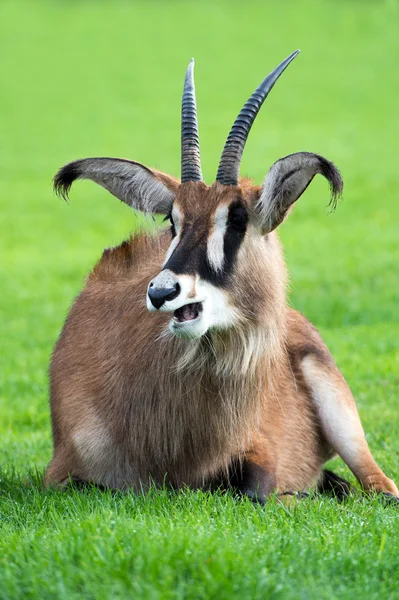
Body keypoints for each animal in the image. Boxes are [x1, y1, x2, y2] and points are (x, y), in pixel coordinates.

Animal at [47, 50, 399, 502]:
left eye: (237, 219)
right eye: (172, 220)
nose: (163, 292)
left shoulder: (258, 448)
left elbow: (255, 488)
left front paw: (294, 494)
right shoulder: (59, 474)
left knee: (379, 487)